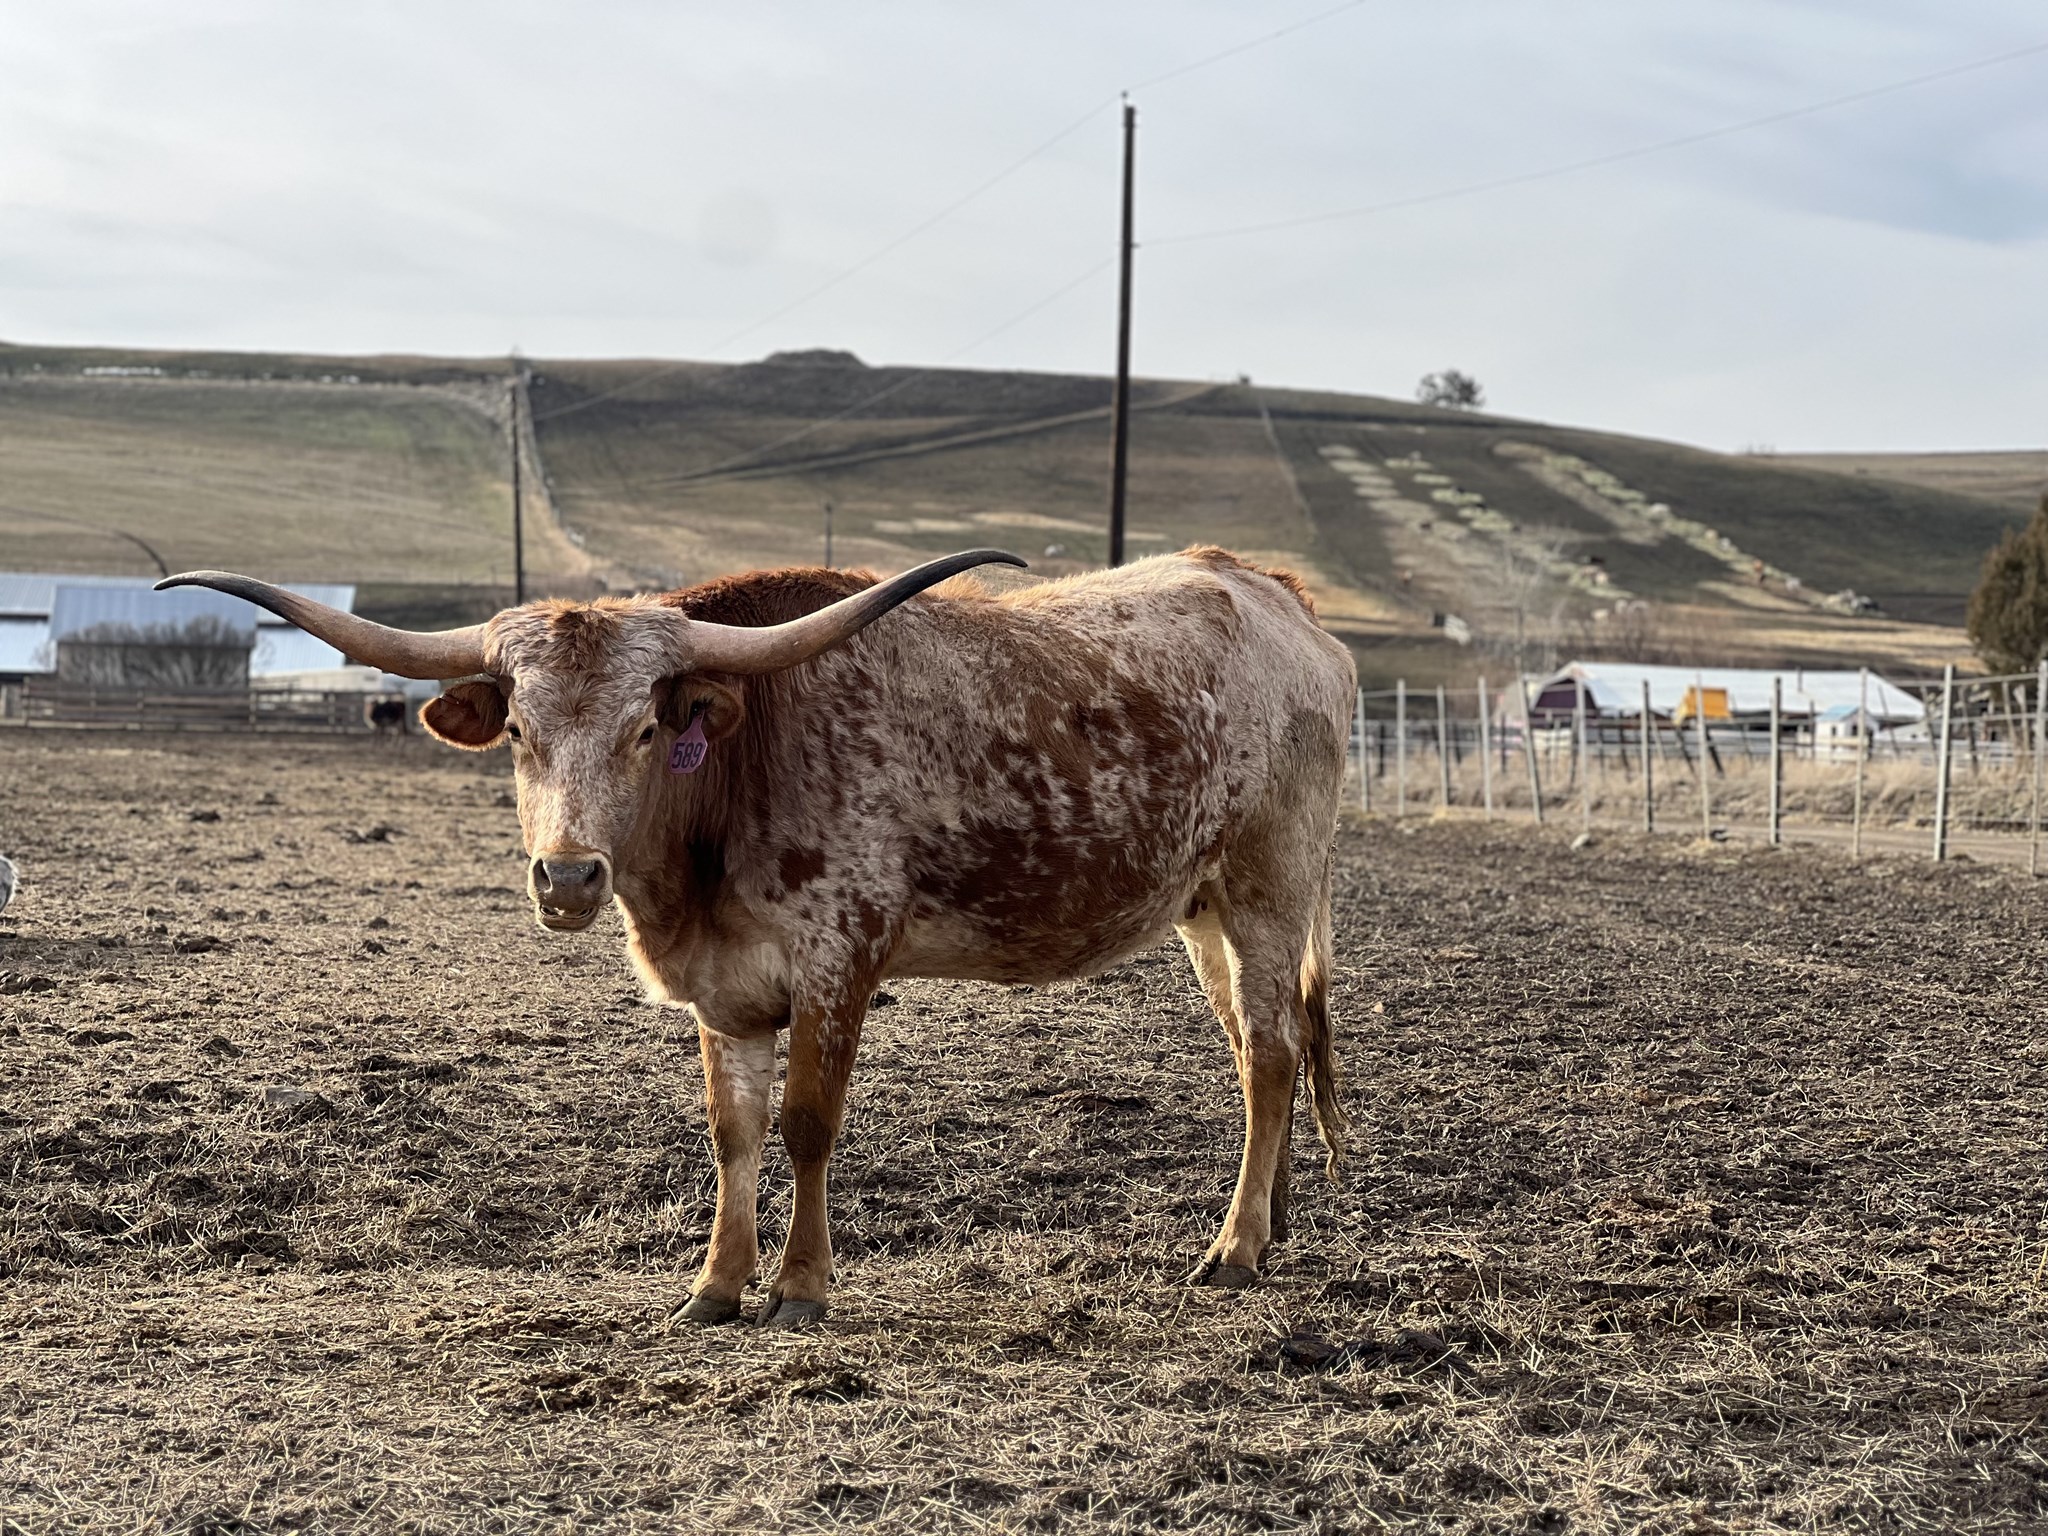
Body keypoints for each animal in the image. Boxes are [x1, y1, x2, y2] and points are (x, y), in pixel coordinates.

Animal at [158, 547, 1356, 1325]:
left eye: (647, 728)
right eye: (517, 731)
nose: (567, 876)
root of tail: (1272, 594)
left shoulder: (839, 963)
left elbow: (805, 1125)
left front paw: (800, 1288)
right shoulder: (723, 992)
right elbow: (731, 1134)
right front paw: (715, 1284)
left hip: (1269, 888)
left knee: (1271, 1055)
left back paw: (1235, 1248)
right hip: (1201, 910)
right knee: (1260, 1054)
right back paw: (1277, 1218)